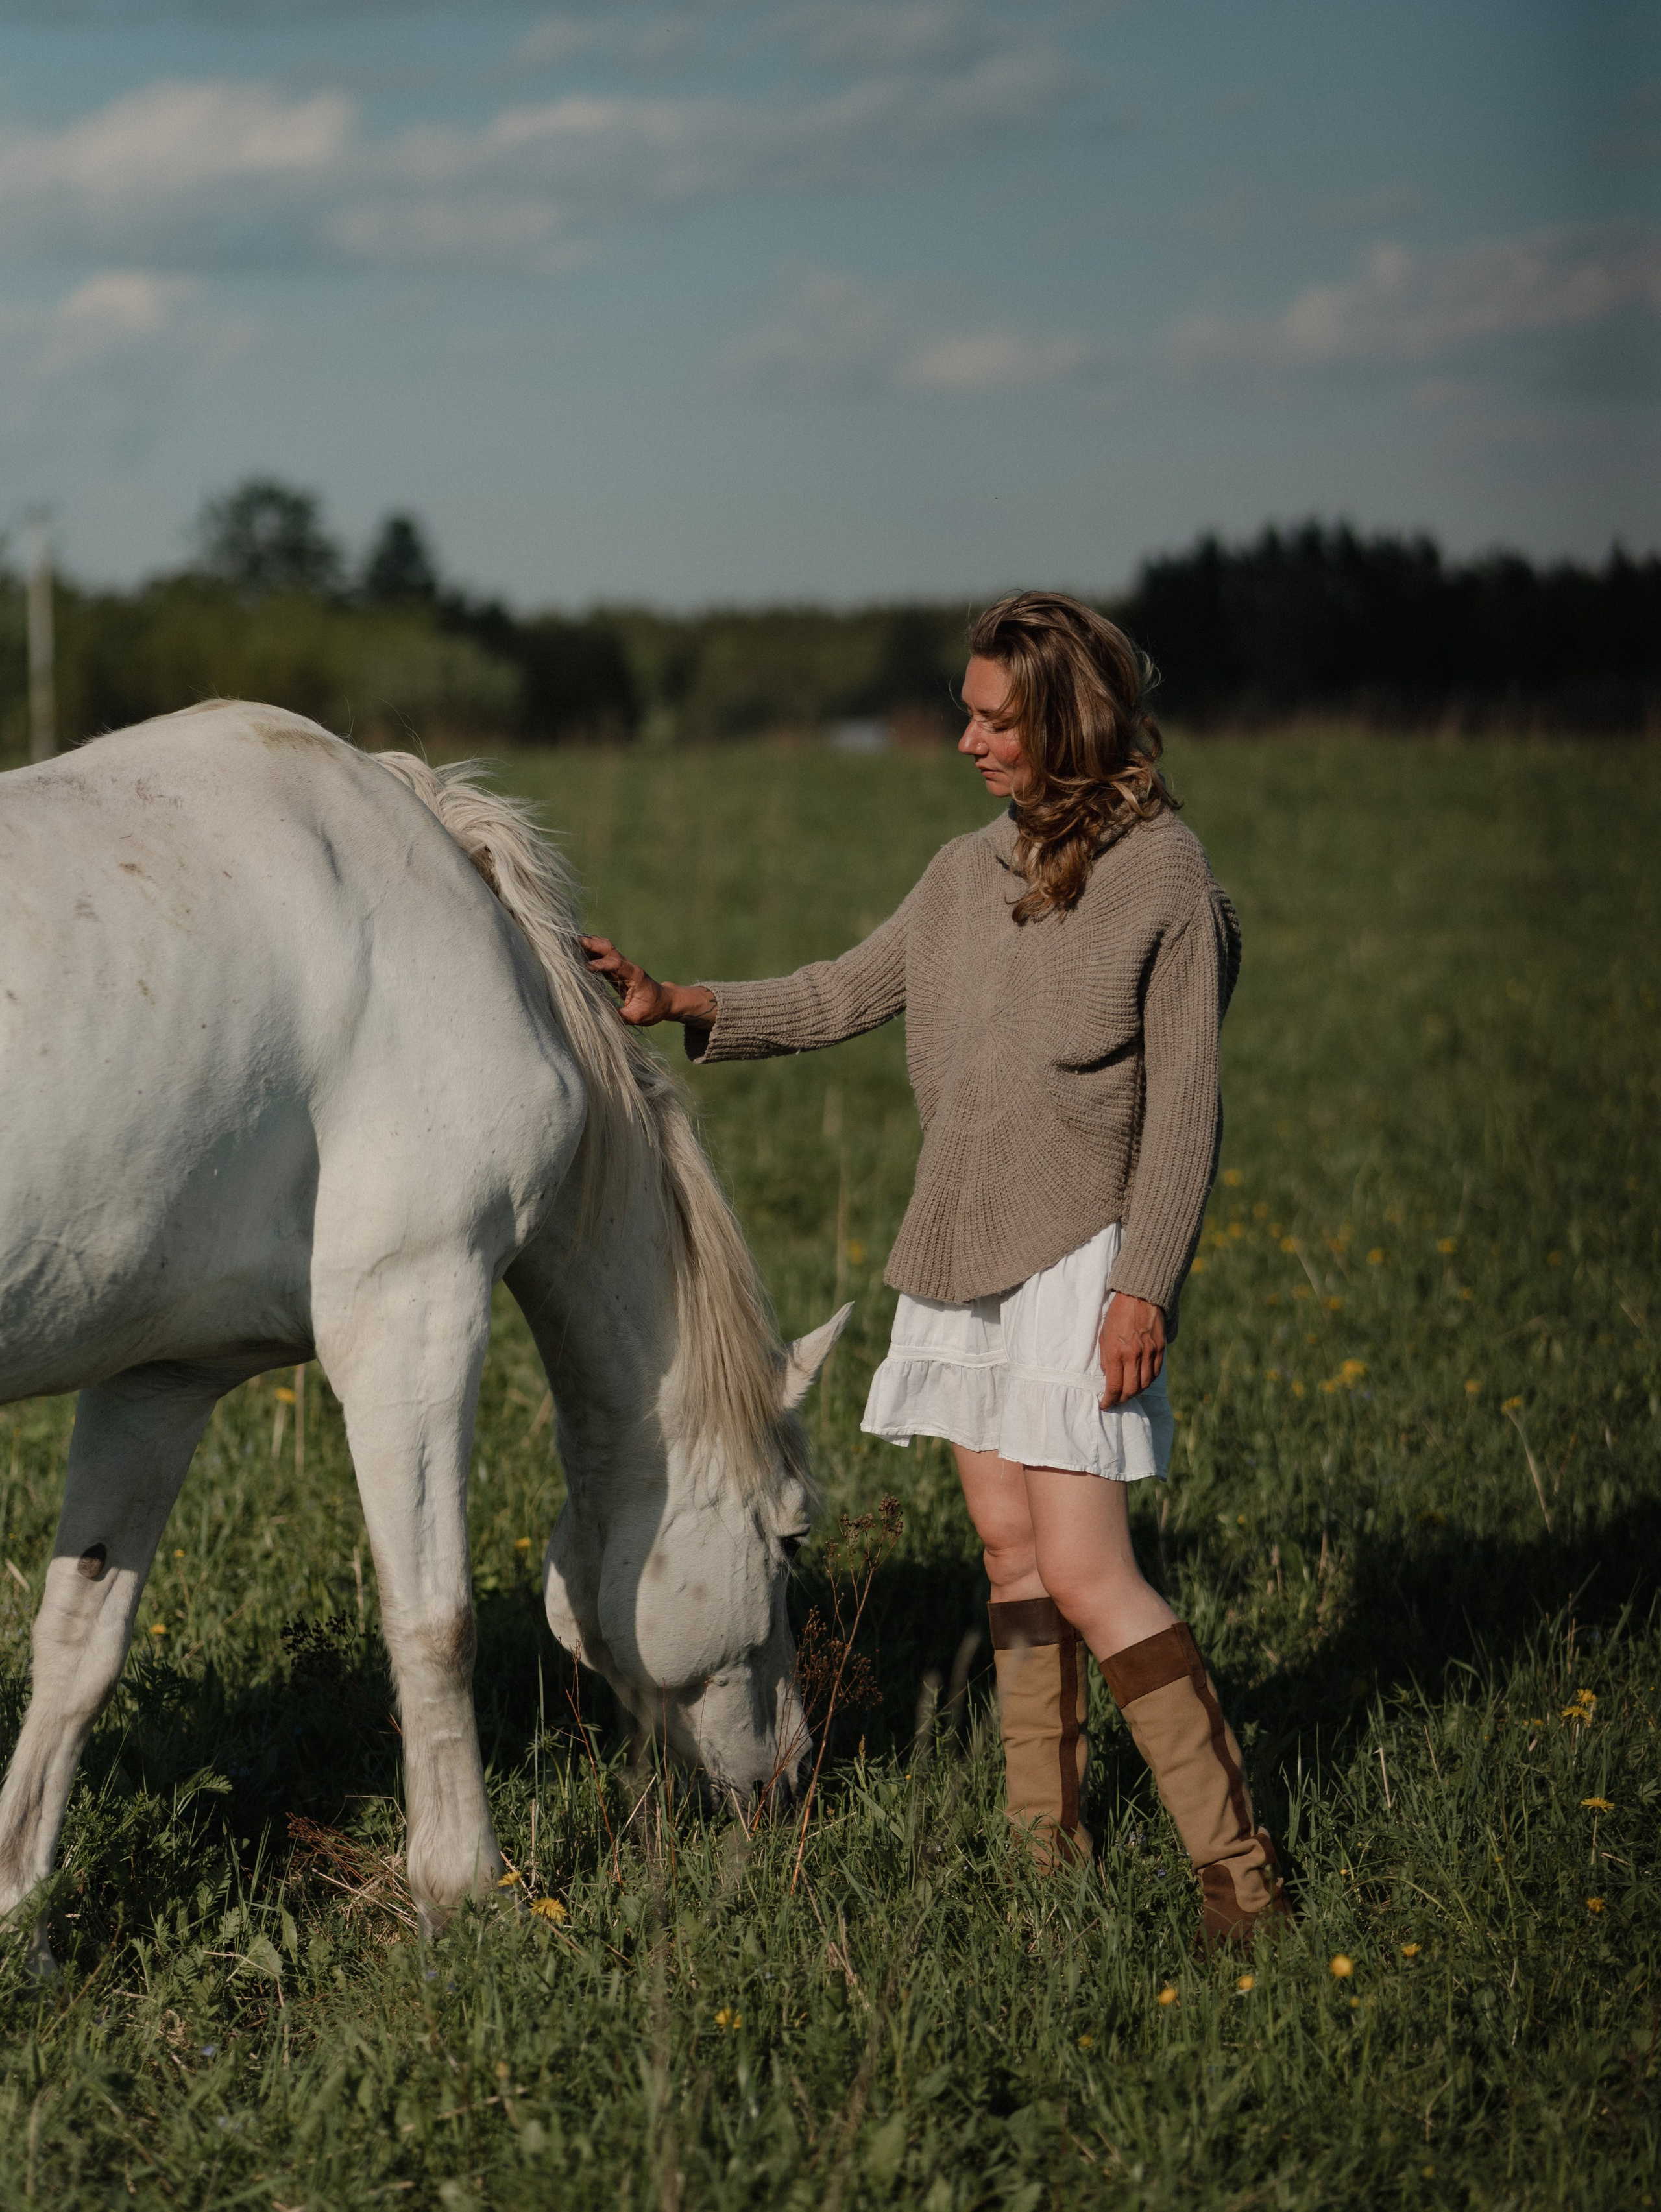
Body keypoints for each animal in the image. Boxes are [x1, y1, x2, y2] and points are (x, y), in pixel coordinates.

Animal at [0, 700, 848, 1965]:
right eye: (790, 1542)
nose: (788, 1767)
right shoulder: (415, 1308)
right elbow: (434, 1617)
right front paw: (462, 1887)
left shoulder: (158, 1379)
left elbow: (77, 1642)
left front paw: (22, 1919)